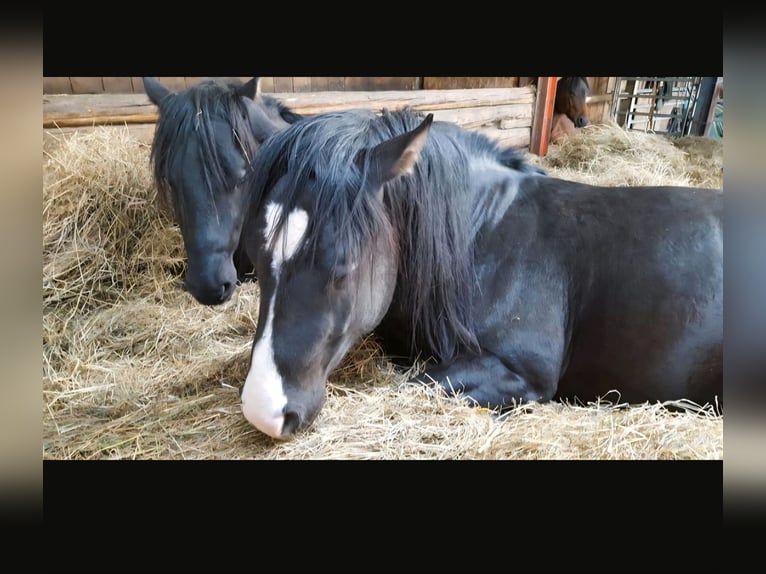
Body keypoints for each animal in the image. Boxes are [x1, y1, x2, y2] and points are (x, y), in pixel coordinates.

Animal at [237, 106, 723, 439]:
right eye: (257, 261)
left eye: (341, 266)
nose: (266, 411)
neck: (485, 237)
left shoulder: (520, 372)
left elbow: (415, 384)